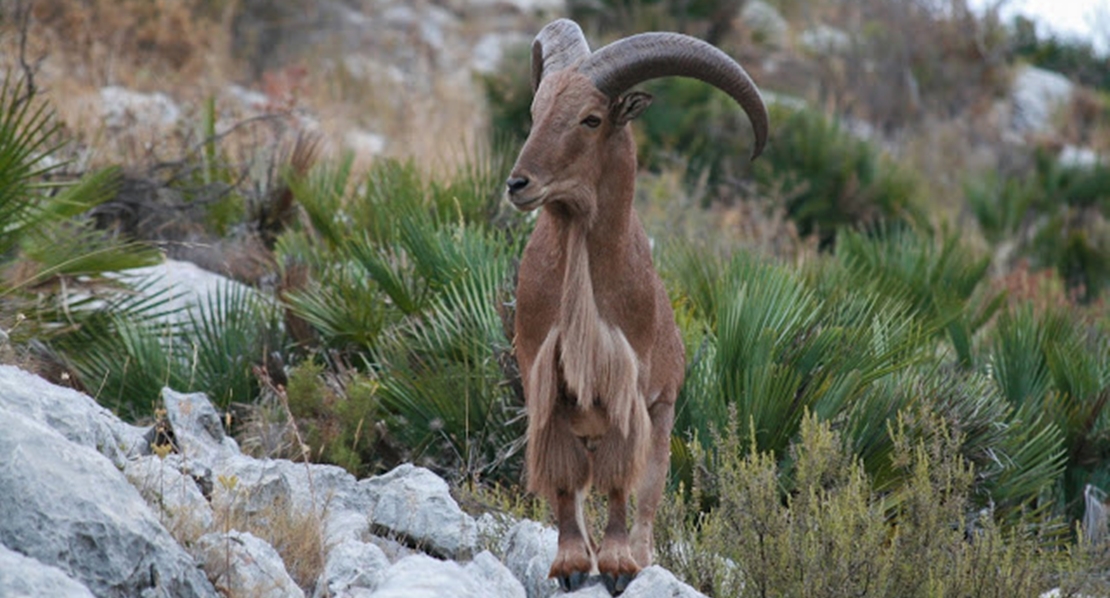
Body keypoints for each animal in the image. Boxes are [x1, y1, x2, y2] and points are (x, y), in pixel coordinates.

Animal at [508, 16, 768, 594]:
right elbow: (564, 482)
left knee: (646, 493)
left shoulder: (633, 387)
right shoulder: (544, 380)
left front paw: (618, 564)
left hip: (664, 414)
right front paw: (571, 564)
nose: (518, 183)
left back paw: (641, 557)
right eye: (536, 112)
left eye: (591, 118)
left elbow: (622, 485)